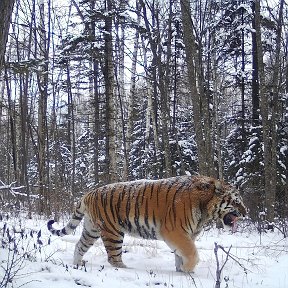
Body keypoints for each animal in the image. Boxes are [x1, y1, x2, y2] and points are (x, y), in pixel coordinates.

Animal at [47, 176, 245, 272]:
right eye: (236, 202)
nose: (245, 213)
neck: (205, 210)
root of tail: (88, 193)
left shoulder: (185, 235)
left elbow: (181, 254)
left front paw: (181, 270)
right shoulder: (175, 231)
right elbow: (192, 253)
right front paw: (188, 270)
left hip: (91, 229)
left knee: (80, 245)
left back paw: (77, 264)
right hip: (113, 232)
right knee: (113, 258)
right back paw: (126, 269)